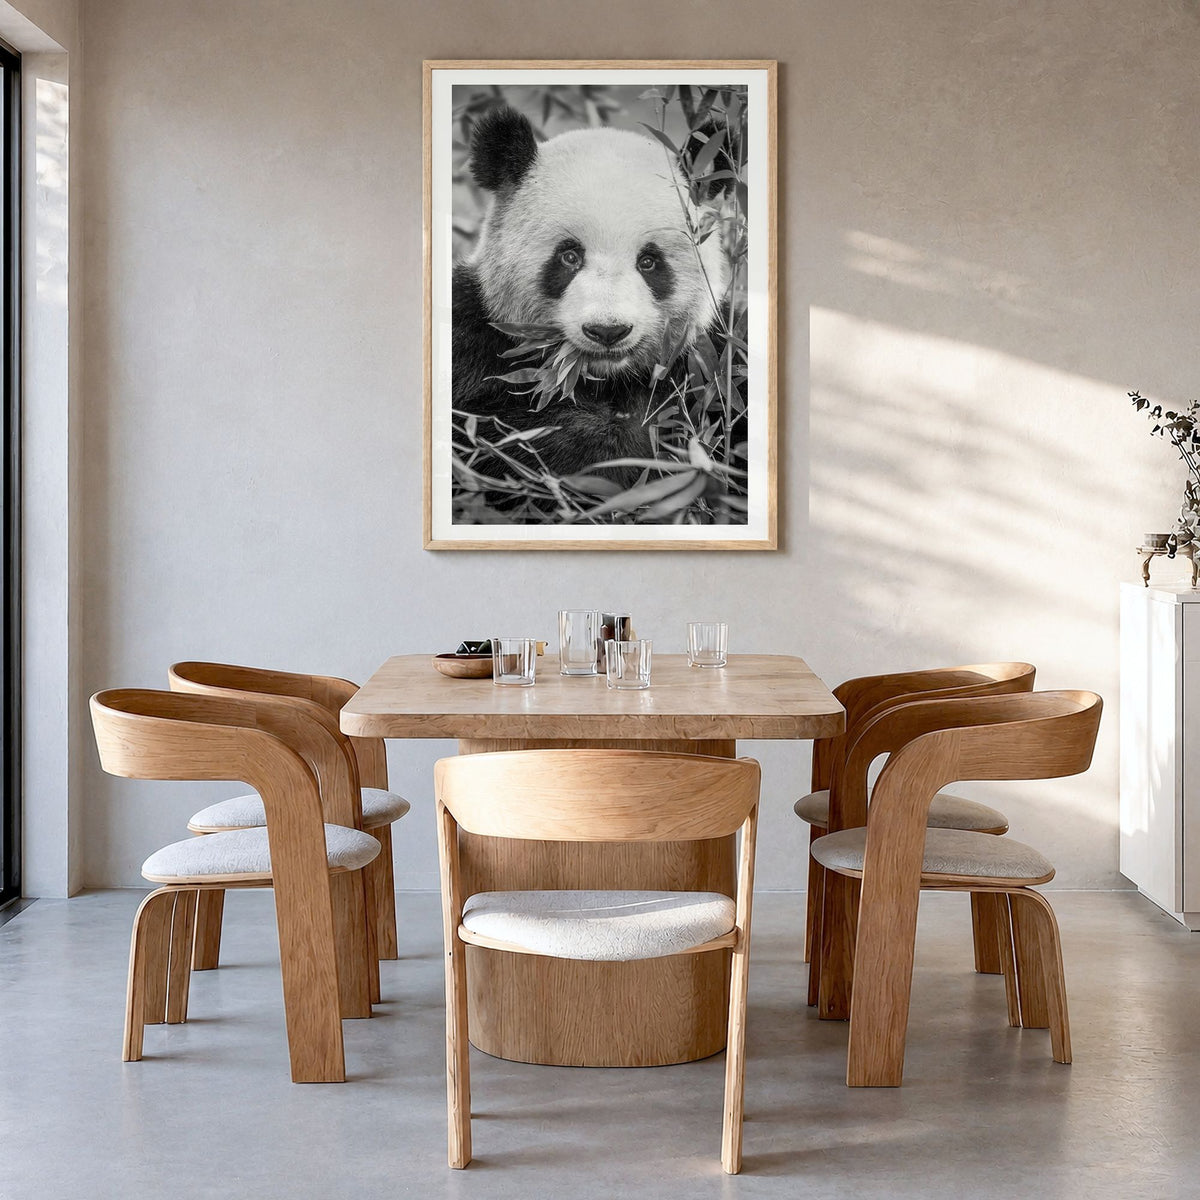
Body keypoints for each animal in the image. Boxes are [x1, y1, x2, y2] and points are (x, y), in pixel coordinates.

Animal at [451, 105, 732, 496]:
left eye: (649, 261)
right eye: (569, 256)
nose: (608, 331)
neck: (604, 379)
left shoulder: (711, 358)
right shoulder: (472, 339)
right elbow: (492, 434)